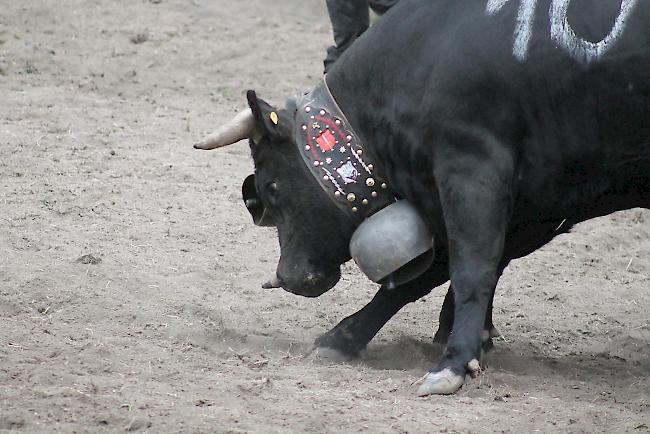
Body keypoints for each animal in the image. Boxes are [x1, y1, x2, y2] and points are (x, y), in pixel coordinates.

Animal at [192, 0, 648, 396]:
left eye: (271, 186)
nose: (287, 277)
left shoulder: (472, 168)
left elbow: (469, 269)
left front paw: (453, 363)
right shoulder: (537, 201)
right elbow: (428, 274)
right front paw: (347, 337)